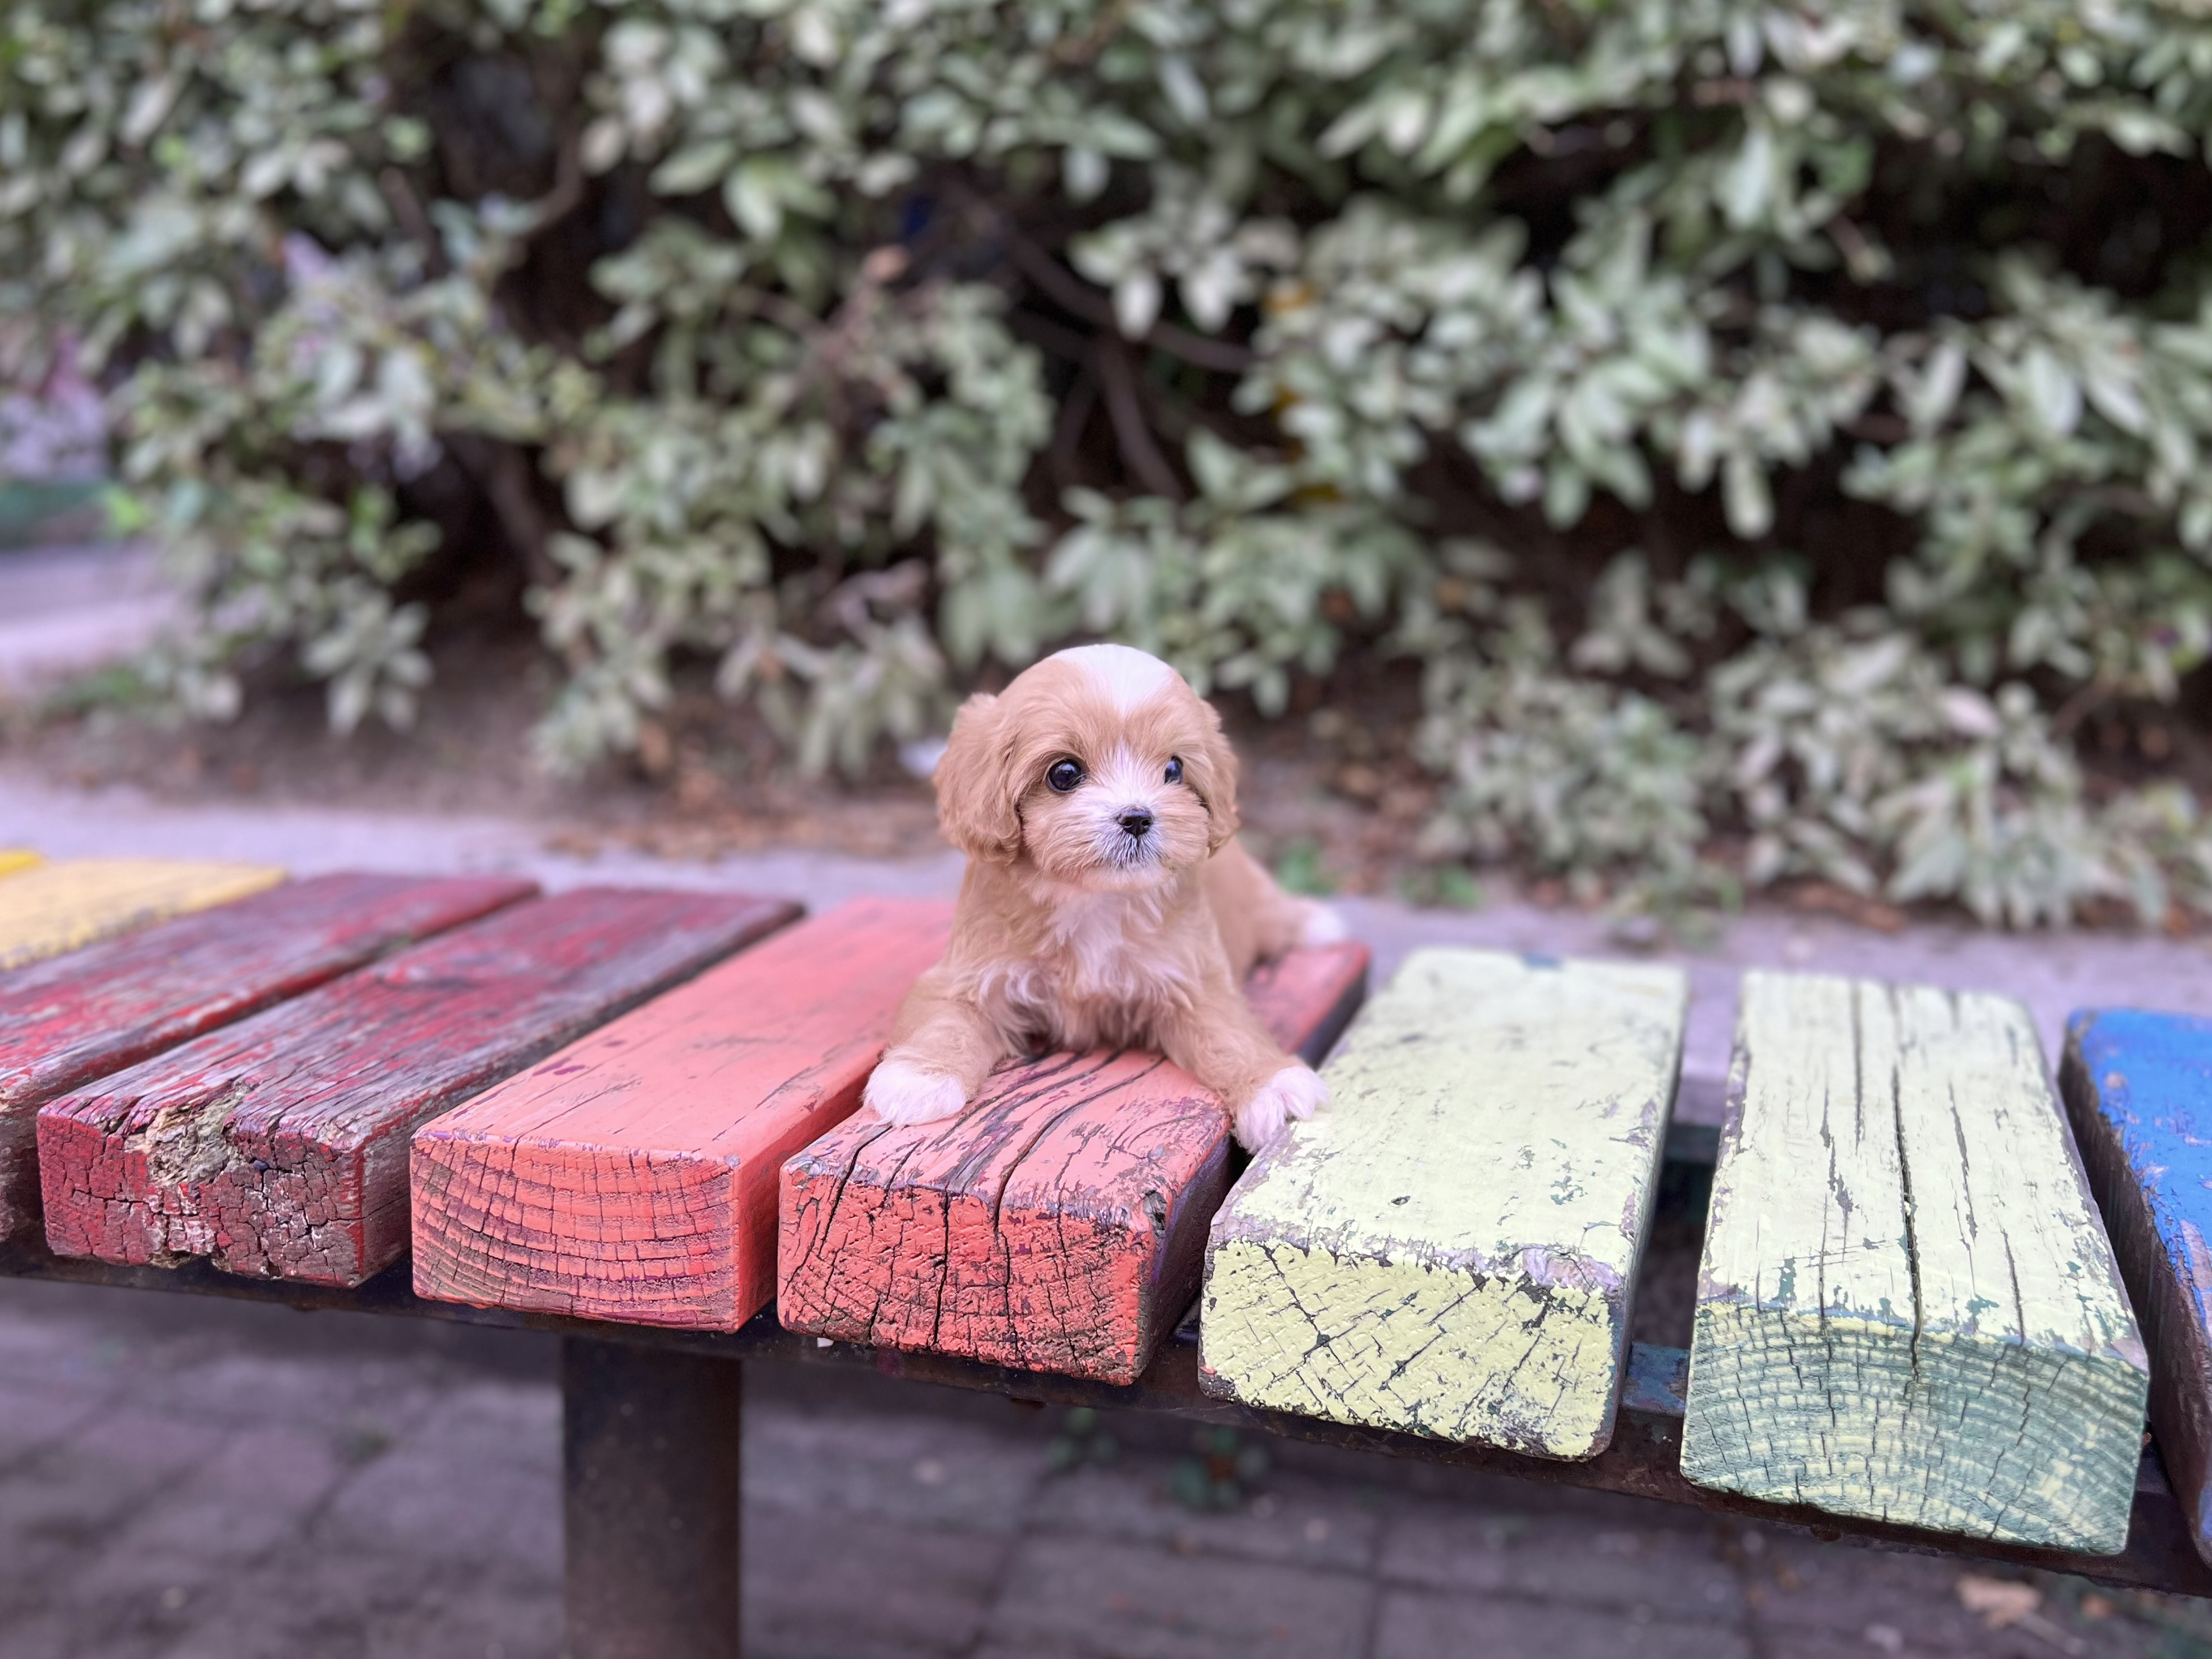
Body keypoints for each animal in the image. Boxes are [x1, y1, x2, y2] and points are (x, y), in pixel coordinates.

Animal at [861, 643, 1345, 1151]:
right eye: (1064, 773)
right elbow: (944, 1020)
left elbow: (1229, 1031)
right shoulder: (966, 975)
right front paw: (919, 1079)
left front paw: (1274, 1083)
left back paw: (1315, 923)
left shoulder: (1195, 981)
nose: (1137, 817)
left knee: (1274, 913)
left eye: (1174, 769)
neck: (1092, 898)